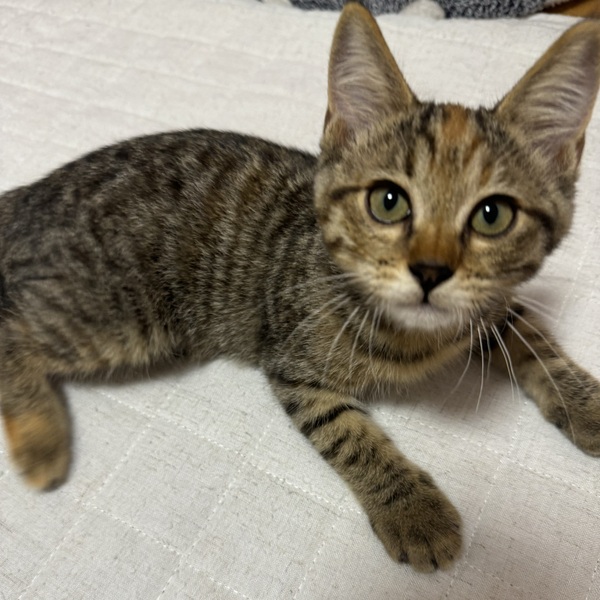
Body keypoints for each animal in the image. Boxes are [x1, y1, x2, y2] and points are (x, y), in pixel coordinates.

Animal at [1, 2, 599, 573]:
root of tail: (31, 194)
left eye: (493, 215)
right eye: (388, 201)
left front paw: (584, 403)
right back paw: (42, 444)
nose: (430, 271)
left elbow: (535, 341)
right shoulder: (294, 366)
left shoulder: (492, 304)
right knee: (12, 327)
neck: (418, 334)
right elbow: (350, 435)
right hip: (122, 313)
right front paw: (414, 511)